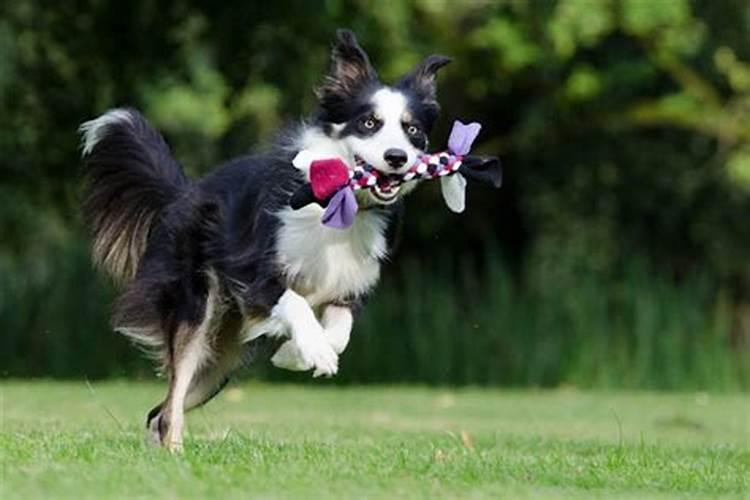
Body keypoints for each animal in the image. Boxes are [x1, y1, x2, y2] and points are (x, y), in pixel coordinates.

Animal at [79, 29, 450, 452]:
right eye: (369, 122)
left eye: (412, 129)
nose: (397, 157)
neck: (341, 202)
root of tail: (184, 193)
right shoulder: (252, 270)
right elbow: (296, 303)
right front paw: (314, 351)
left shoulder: (350, 284)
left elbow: (340, 332)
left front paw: (296, 354)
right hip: (197, 310)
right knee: (171, 401)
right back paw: (175, 454)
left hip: (222, 359)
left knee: (160, 410)